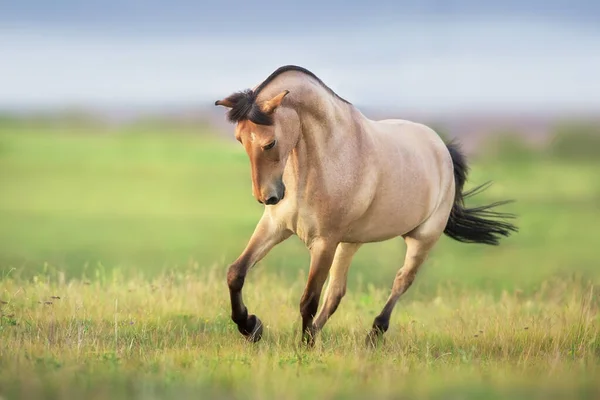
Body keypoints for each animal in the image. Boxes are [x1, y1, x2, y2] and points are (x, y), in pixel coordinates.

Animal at [214, 64, 516, 346]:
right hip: (350, 243)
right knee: (336, 293)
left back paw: (374, 334)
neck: (323, 159)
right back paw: (321, 333)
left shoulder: (324, 242)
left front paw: (303, 348)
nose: (268, 197)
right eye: (240, 139)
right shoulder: (275, 227)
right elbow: (235, 273)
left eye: (270, 143)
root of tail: (442, 149)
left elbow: (309, 299)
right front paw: (250, 327)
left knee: (401, 281)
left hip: (421, 239)